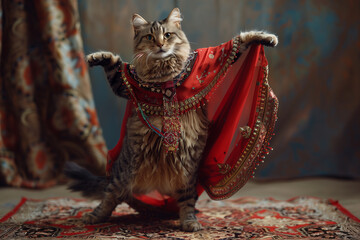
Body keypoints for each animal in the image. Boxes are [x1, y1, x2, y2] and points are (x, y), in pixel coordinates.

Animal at [65, 8, 278, 232]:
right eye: (150, 37)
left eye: (167, 35)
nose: (160, 44)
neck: (164, 74)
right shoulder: (125, 84)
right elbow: (114, 62)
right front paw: (95, 56)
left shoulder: (213, 58)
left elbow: (239, 41)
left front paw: (266, 38)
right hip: (124, 174)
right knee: (109, 198)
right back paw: (93, 217)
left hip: (186, 174)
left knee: (186, 202)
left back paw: (189, 222)